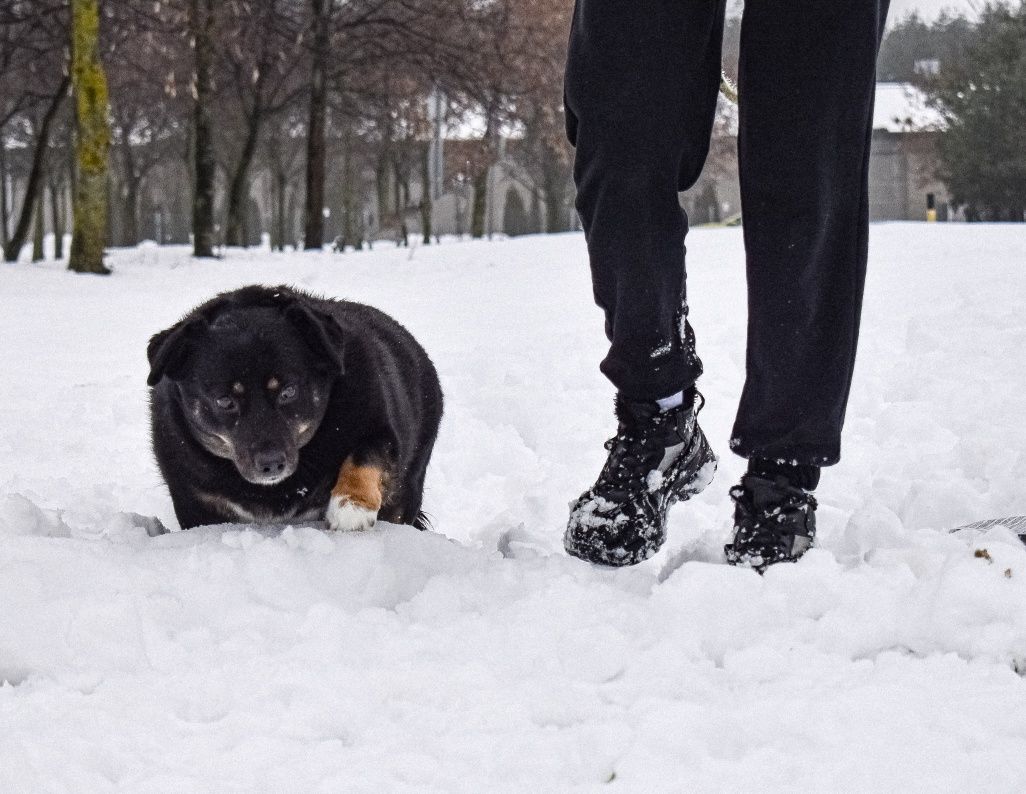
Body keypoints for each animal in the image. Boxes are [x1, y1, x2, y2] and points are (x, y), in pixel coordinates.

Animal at [146, 285, 443, 533]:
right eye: (225, 401)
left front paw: (351, 505)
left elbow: (366, 454)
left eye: (288, 391)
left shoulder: (379, 426)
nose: (271, 463)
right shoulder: (195, 498)